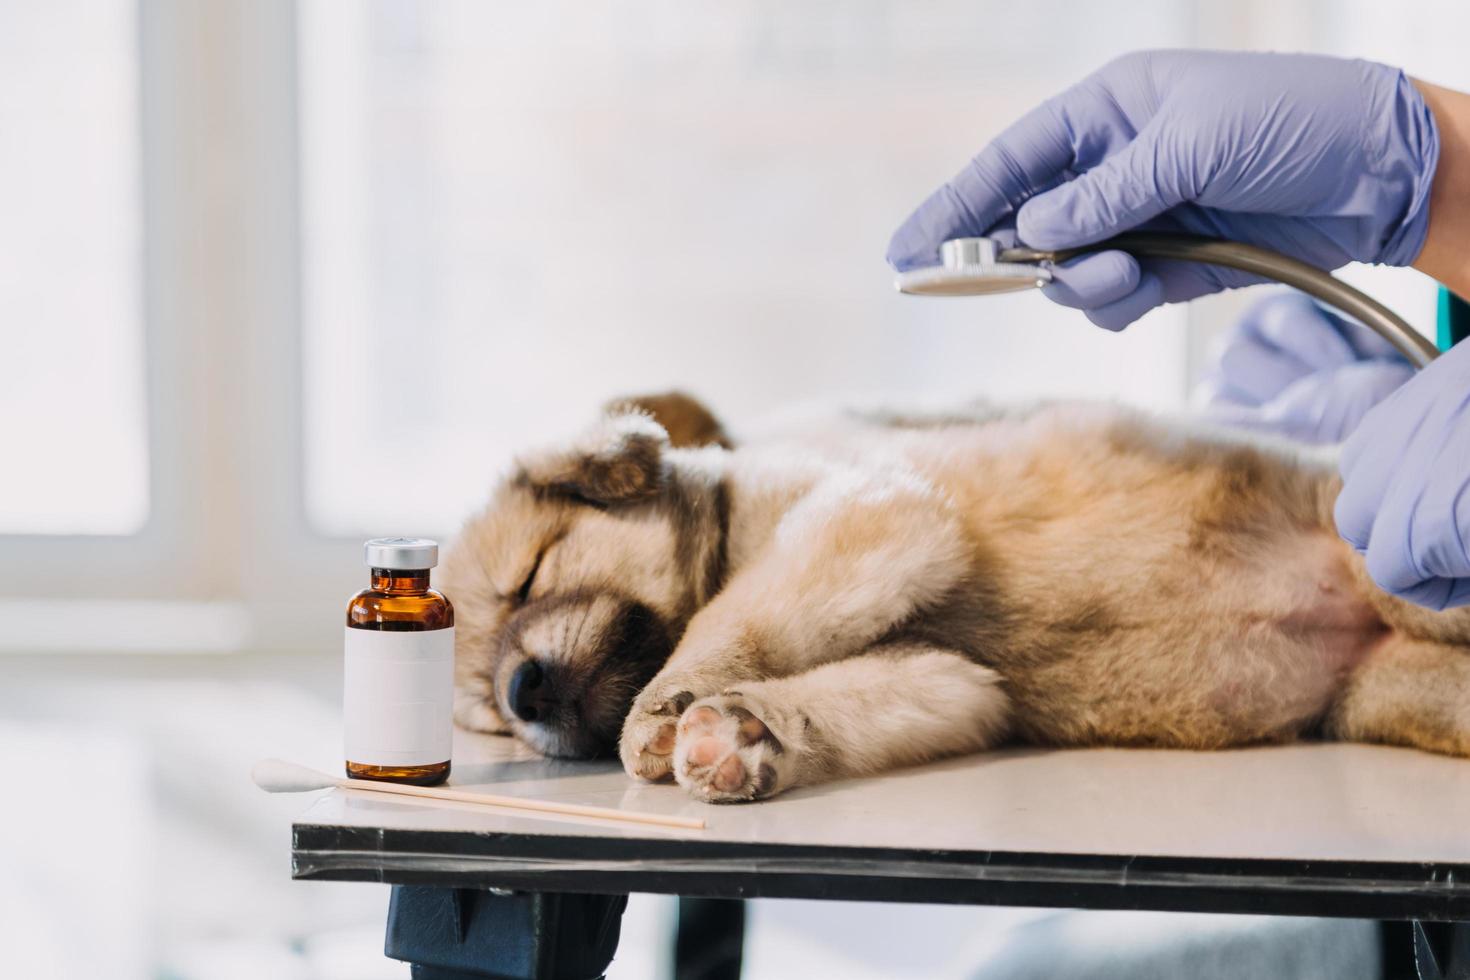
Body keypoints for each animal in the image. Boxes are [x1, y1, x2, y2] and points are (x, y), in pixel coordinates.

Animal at [441, 393, 1470, 805]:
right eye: (487, 711)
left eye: (532, 574)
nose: (524, 692)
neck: (732, 522)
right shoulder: (957, 682)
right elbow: (834, 701)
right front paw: (744, 735)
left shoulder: (874, 514)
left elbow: (729, 619)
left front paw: (663, 713)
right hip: (1393, 690)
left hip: (1409, 582)